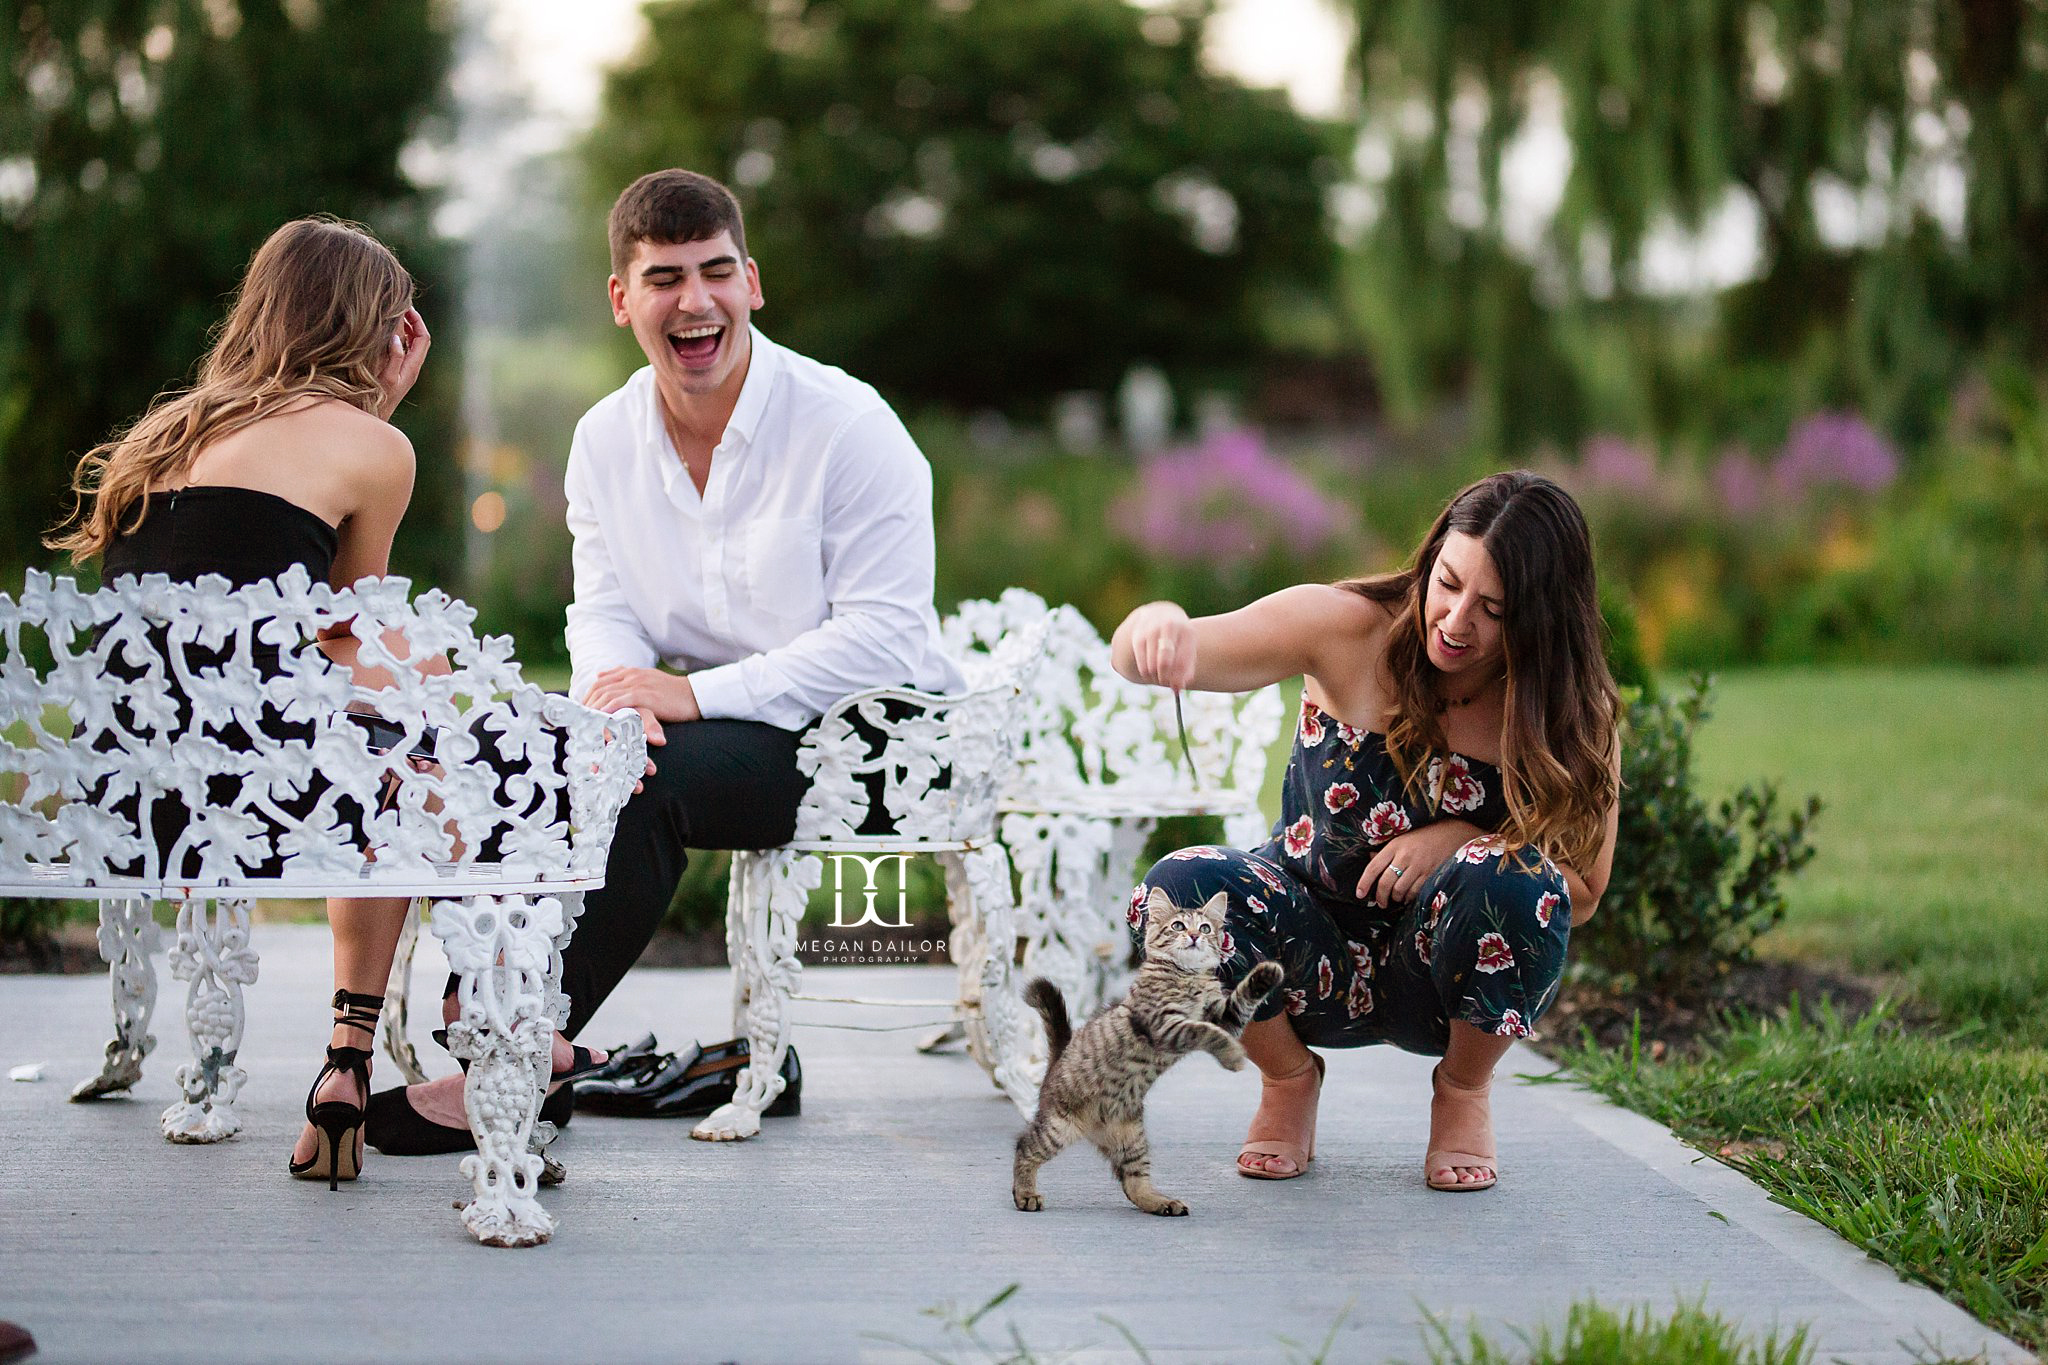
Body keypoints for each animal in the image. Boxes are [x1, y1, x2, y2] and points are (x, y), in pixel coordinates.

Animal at [1019, 888, 1286, 1219]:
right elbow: (1205, 1032)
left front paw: (1266, 974)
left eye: (1205, 928)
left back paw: (1161, 1202)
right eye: (1178, 926)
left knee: (1133, 1182)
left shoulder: (1224, 1016)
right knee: (1024, 1147)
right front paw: (1233, 1056)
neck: (1189, 976)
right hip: (1058, 1127)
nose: (1194, 936)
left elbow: (1240, 1000)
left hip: (1131, 1140)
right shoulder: (1164, 1024)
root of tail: (1059, 1057)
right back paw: (1025, 1194)